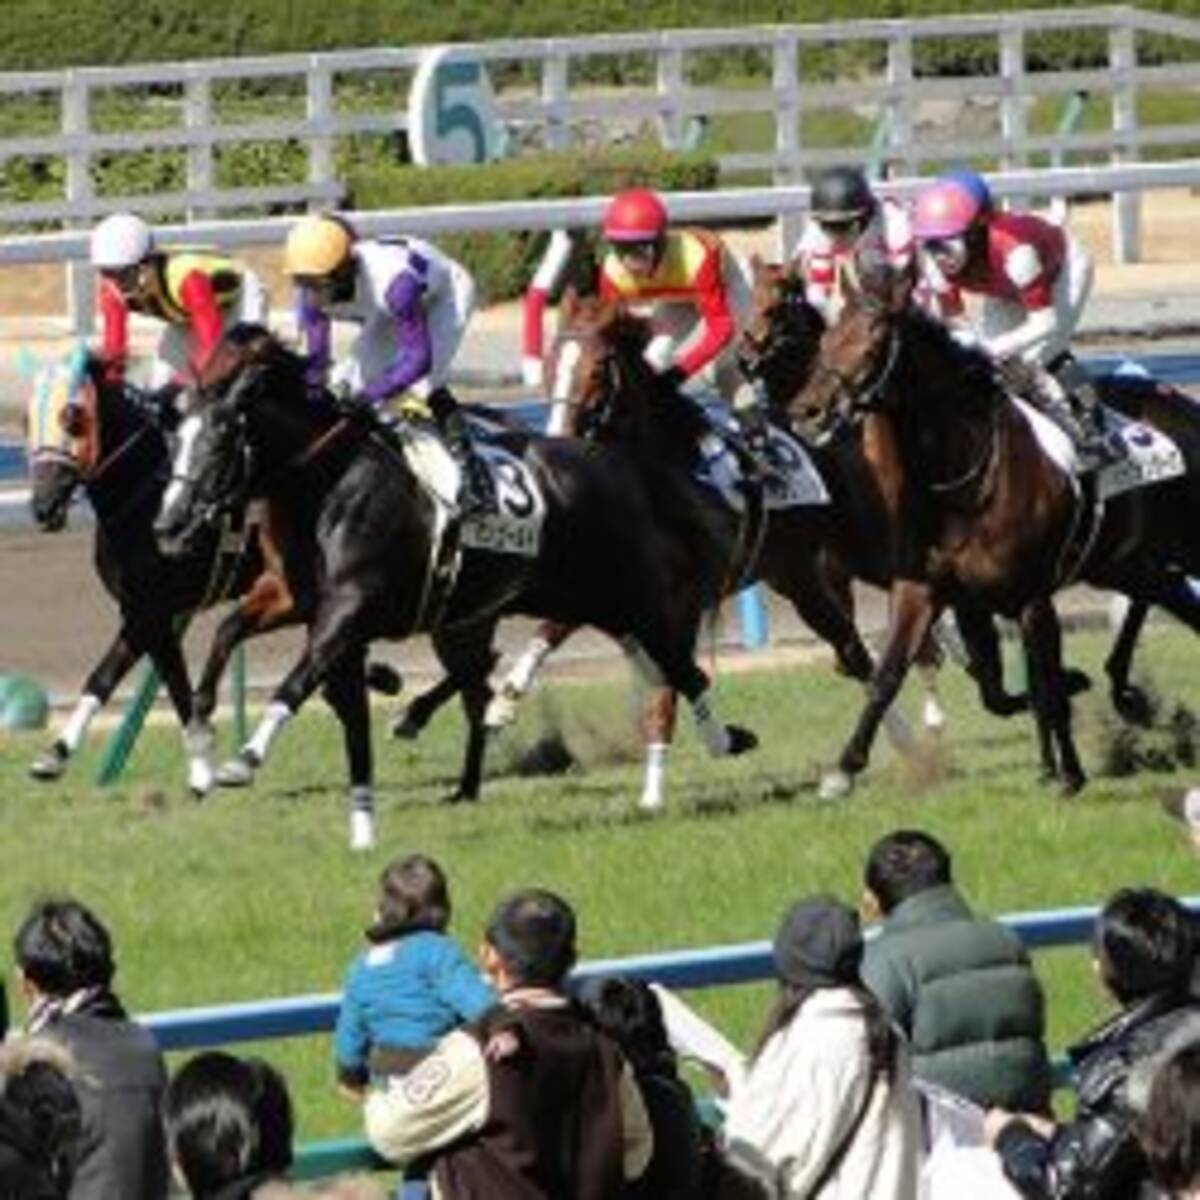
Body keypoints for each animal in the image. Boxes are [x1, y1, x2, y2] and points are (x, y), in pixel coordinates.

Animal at [147, 326, 748, 835]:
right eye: (176, 441)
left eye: (219, 443)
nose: (168, 526)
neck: (328, 482)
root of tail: (626, 470)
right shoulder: (294, 596)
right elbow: (227, 631)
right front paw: (200, 742)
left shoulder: (350, 604)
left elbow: (299, 677)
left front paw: (244, 760)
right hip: (508, 610)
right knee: (483, 680)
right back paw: (460, 779)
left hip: (623, 599)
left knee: (682, 669)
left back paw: (724, 739)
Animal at [787, 272, 1200, 796]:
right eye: (826, 341)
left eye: (874, 344)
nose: (807, 412)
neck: (963, 477)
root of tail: (1185, 405)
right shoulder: (926, 588)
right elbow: (891, 675)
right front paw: (843, 770)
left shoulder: (1032, 596)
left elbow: (1047, 688)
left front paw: (1069, 773)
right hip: (1121, 561)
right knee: (1168, 597)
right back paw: (1124, 689)